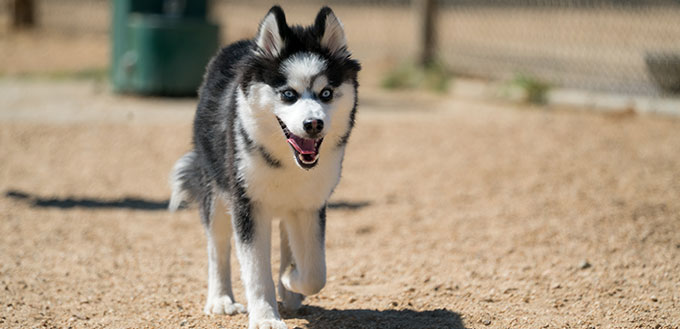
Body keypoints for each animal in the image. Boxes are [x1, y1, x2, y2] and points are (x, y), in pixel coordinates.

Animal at [169, 5, 362, 328]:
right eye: (288, 94)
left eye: (326, 93)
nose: (313, 124)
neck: (287, 163)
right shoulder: (248, 206)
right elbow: (257, 272)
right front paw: (265, 317)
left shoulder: (310, 205)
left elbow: (315, 273)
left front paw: (290, 279)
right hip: (217, 192)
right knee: (217, 247)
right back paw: (220, 299)